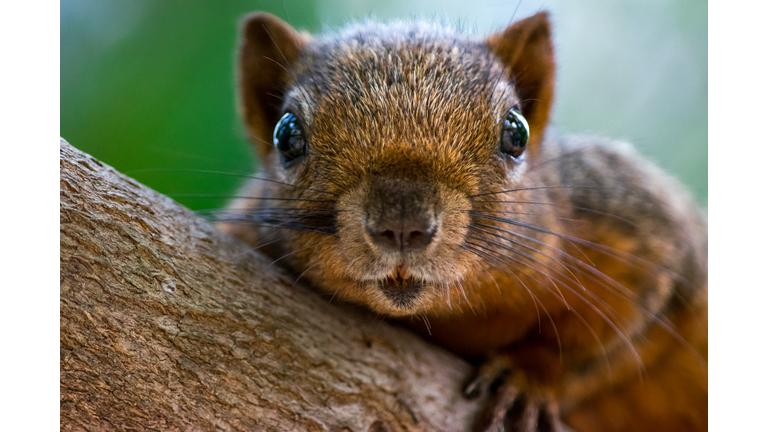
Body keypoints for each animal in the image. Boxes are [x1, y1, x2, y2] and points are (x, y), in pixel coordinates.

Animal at [218, 11, 708, 432]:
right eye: (286, 134)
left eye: (516, 132)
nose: (403, 225)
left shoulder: (642, 234)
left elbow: (611, 343)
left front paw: (529, 376)